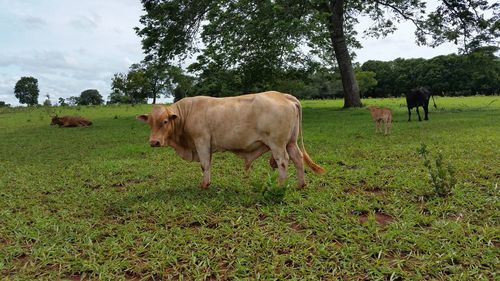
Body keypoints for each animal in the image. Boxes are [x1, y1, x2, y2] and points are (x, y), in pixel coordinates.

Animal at [138, 92, 324, 188]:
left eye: (165, 121)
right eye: (149, 123)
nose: (154, 142)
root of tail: (283, 95)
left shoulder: (201, 140)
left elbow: (204, 164)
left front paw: (204, 185)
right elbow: (207, 164)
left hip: (277, 144)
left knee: (283, 161)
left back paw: (279, 185)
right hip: (290, 142)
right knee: (298, 158)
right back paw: (300, 185)